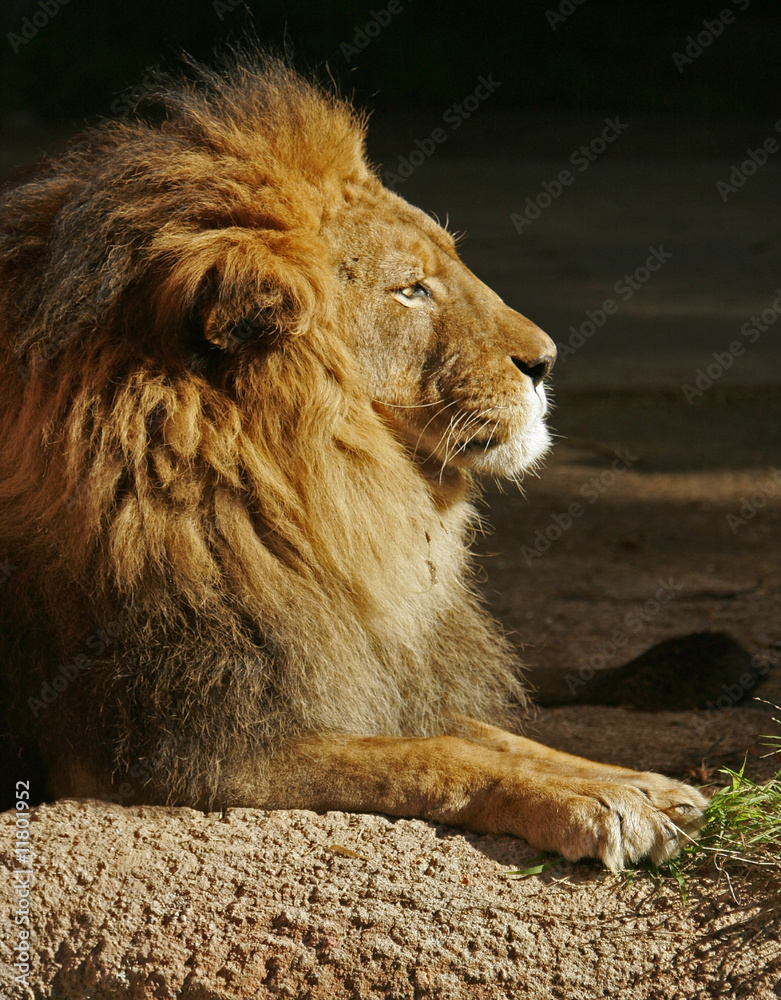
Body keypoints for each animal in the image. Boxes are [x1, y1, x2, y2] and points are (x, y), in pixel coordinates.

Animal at [0, 54, 705, 870]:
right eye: (410, 289)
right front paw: (592, 804)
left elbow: (486, 732)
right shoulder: (161, 750)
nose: (546, 360)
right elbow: (428, 755)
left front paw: (636, 784)